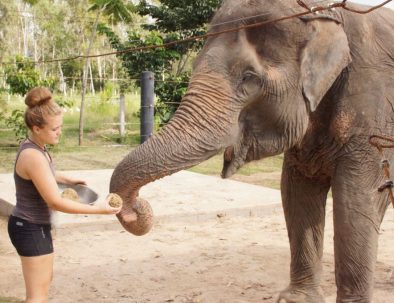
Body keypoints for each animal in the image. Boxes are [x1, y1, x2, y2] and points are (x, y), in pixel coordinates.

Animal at [109, 1, 394, 302]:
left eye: (249, 78)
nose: (135, 207)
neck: (328, 14)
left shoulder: (374, 112)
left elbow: (358, 197)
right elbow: (296, 192)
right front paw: (295, 299)